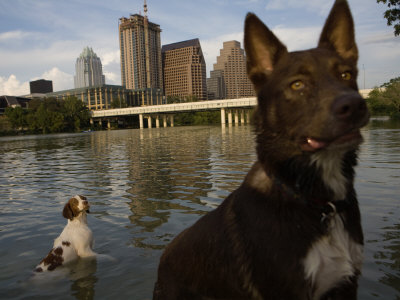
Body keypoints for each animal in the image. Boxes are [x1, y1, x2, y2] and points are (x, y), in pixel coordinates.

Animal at [152, 1, 368, 298]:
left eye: (346, 74)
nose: (355, 105)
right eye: (297, 84)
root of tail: (162, 259)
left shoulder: (347, 283)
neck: (317, 201)